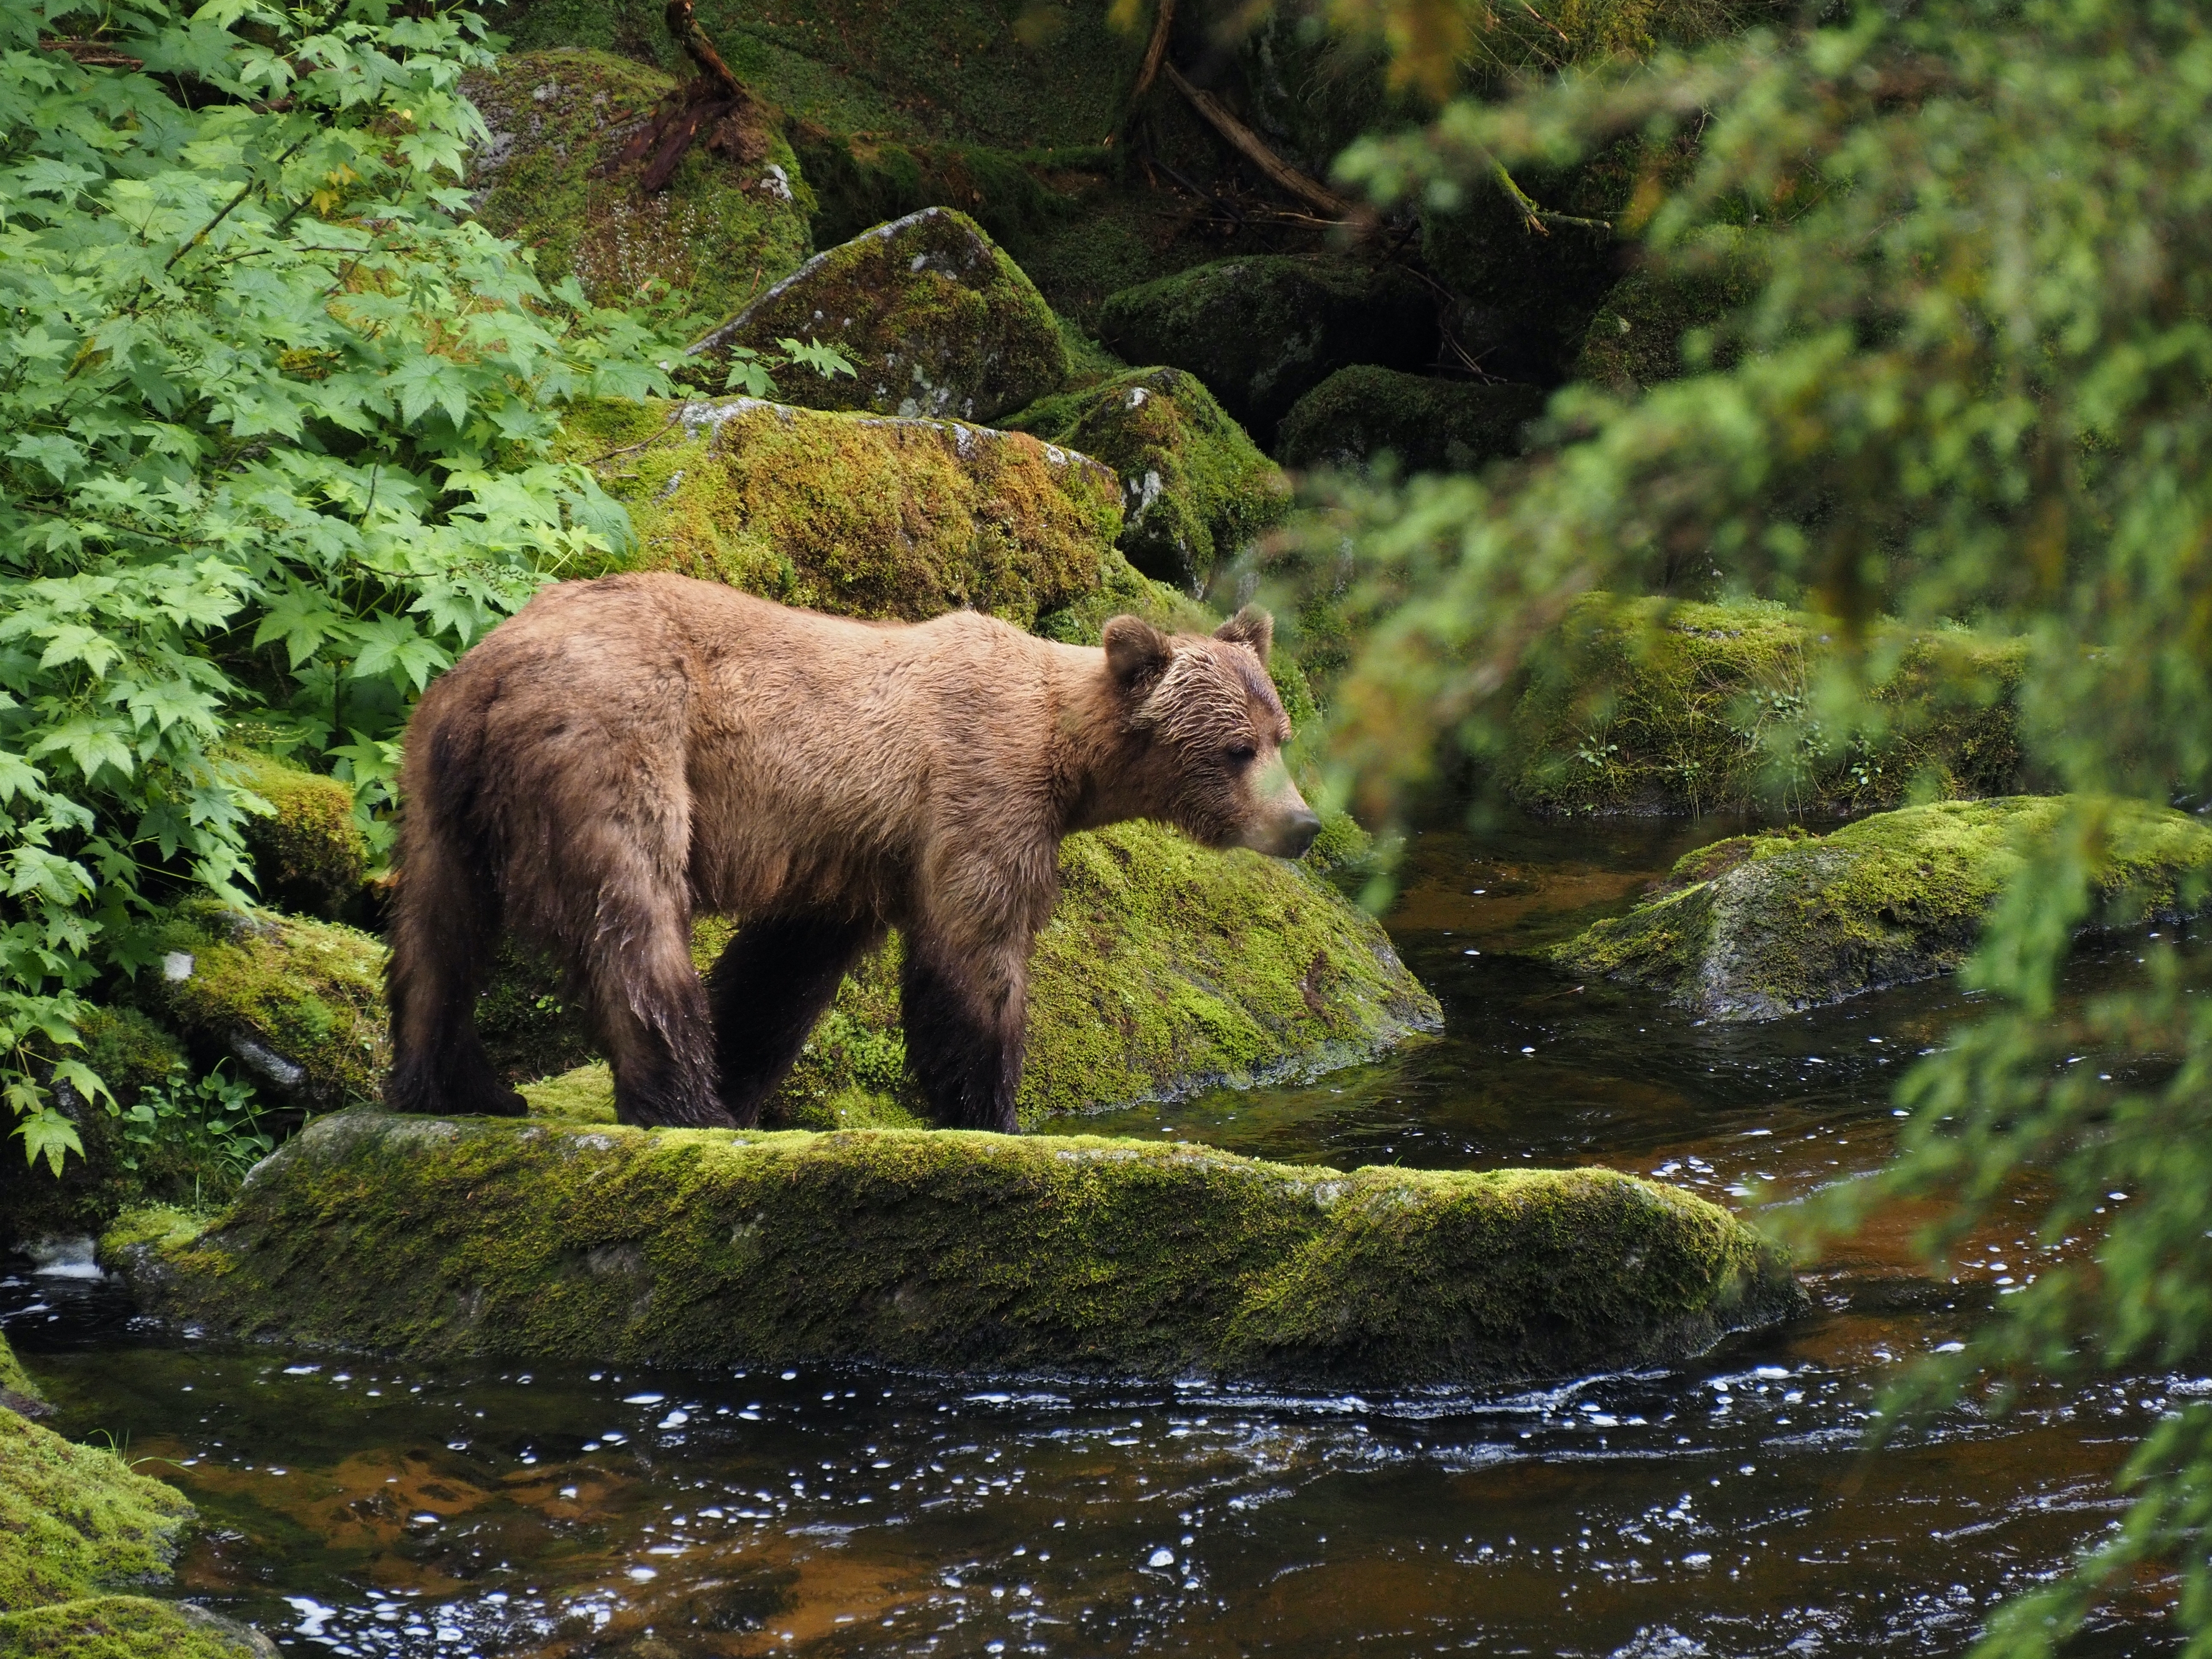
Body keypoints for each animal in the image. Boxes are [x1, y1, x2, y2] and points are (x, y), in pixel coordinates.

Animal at [384, 572, 1320, 1134]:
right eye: (1236, 750)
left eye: (1280, 734)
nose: (1303, 824)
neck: (1064, 752)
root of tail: (493, 672)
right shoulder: (978, 791)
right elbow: (976, 949)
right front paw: (990, 1108)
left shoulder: (851, 852)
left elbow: (782, 969)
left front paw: (745, 1069)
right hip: (619, 739)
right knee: (634, 915)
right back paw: (684, 1103)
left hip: (439, 781)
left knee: (436, 934)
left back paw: (456, 1084)